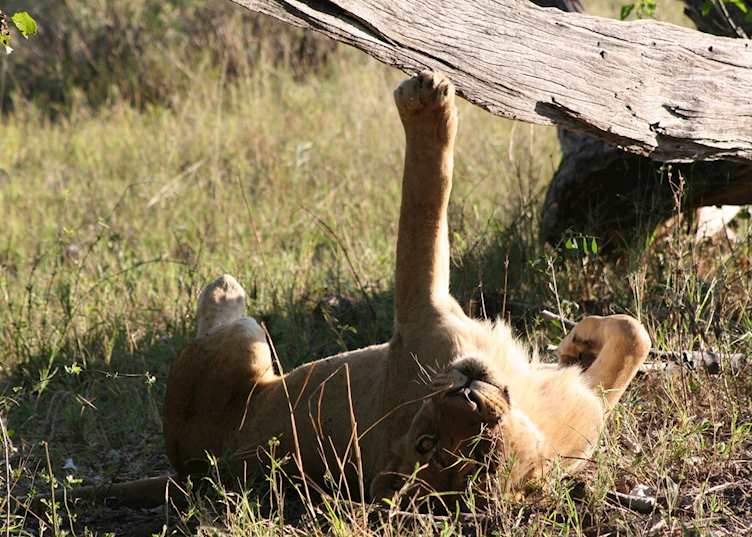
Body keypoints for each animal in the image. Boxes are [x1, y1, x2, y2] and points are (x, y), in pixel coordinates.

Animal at [54, 71, 650, 508]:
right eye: (428, 442)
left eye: (463, 453)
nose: (462, 389)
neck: (528, 415)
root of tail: (188, 473)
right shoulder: (422, 311)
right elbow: (425, 201)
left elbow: (632, 334)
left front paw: (579, 340)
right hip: (244, 344)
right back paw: (225, 288)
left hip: (243, 346)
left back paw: (224, 289)